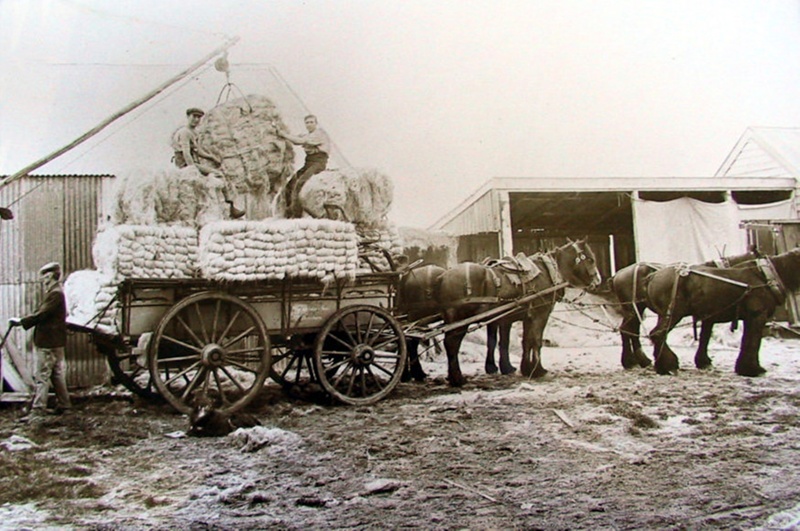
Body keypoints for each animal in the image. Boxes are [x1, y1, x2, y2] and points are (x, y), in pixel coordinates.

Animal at [438, 241, 600, 386]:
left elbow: (526, 341)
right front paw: (537, 370)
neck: (547, 271)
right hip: (459, 321)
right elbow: (536, 341)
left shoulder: (527, 317)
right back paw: (457, 378)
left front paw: (526, 368)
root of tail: (443, 276)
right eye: (591, 259)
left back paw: (453, 377)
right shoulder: (540, 314)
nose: (598, 281)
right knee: (452, 344)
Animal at [608, 252, 760, 370]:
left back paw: (636, 361)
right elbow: (704, 336)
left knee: (629, 330)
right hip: (635, 308)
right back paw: (638, 361)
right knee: (629, 330)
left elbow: (704, 335)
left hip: (636, 309)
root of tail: (619, 274)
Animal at [644, 247, 800, 376]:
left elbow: (744, 341)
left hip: (664, 315)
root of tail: (654, 275)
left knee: (657, 335)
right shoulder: (757, 316)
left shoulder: (743, 318)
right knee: (658, 334)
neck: (763, 276)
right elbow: (753, 342)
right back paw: (668, 364)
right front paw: (752, 369)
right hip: (674, 313)